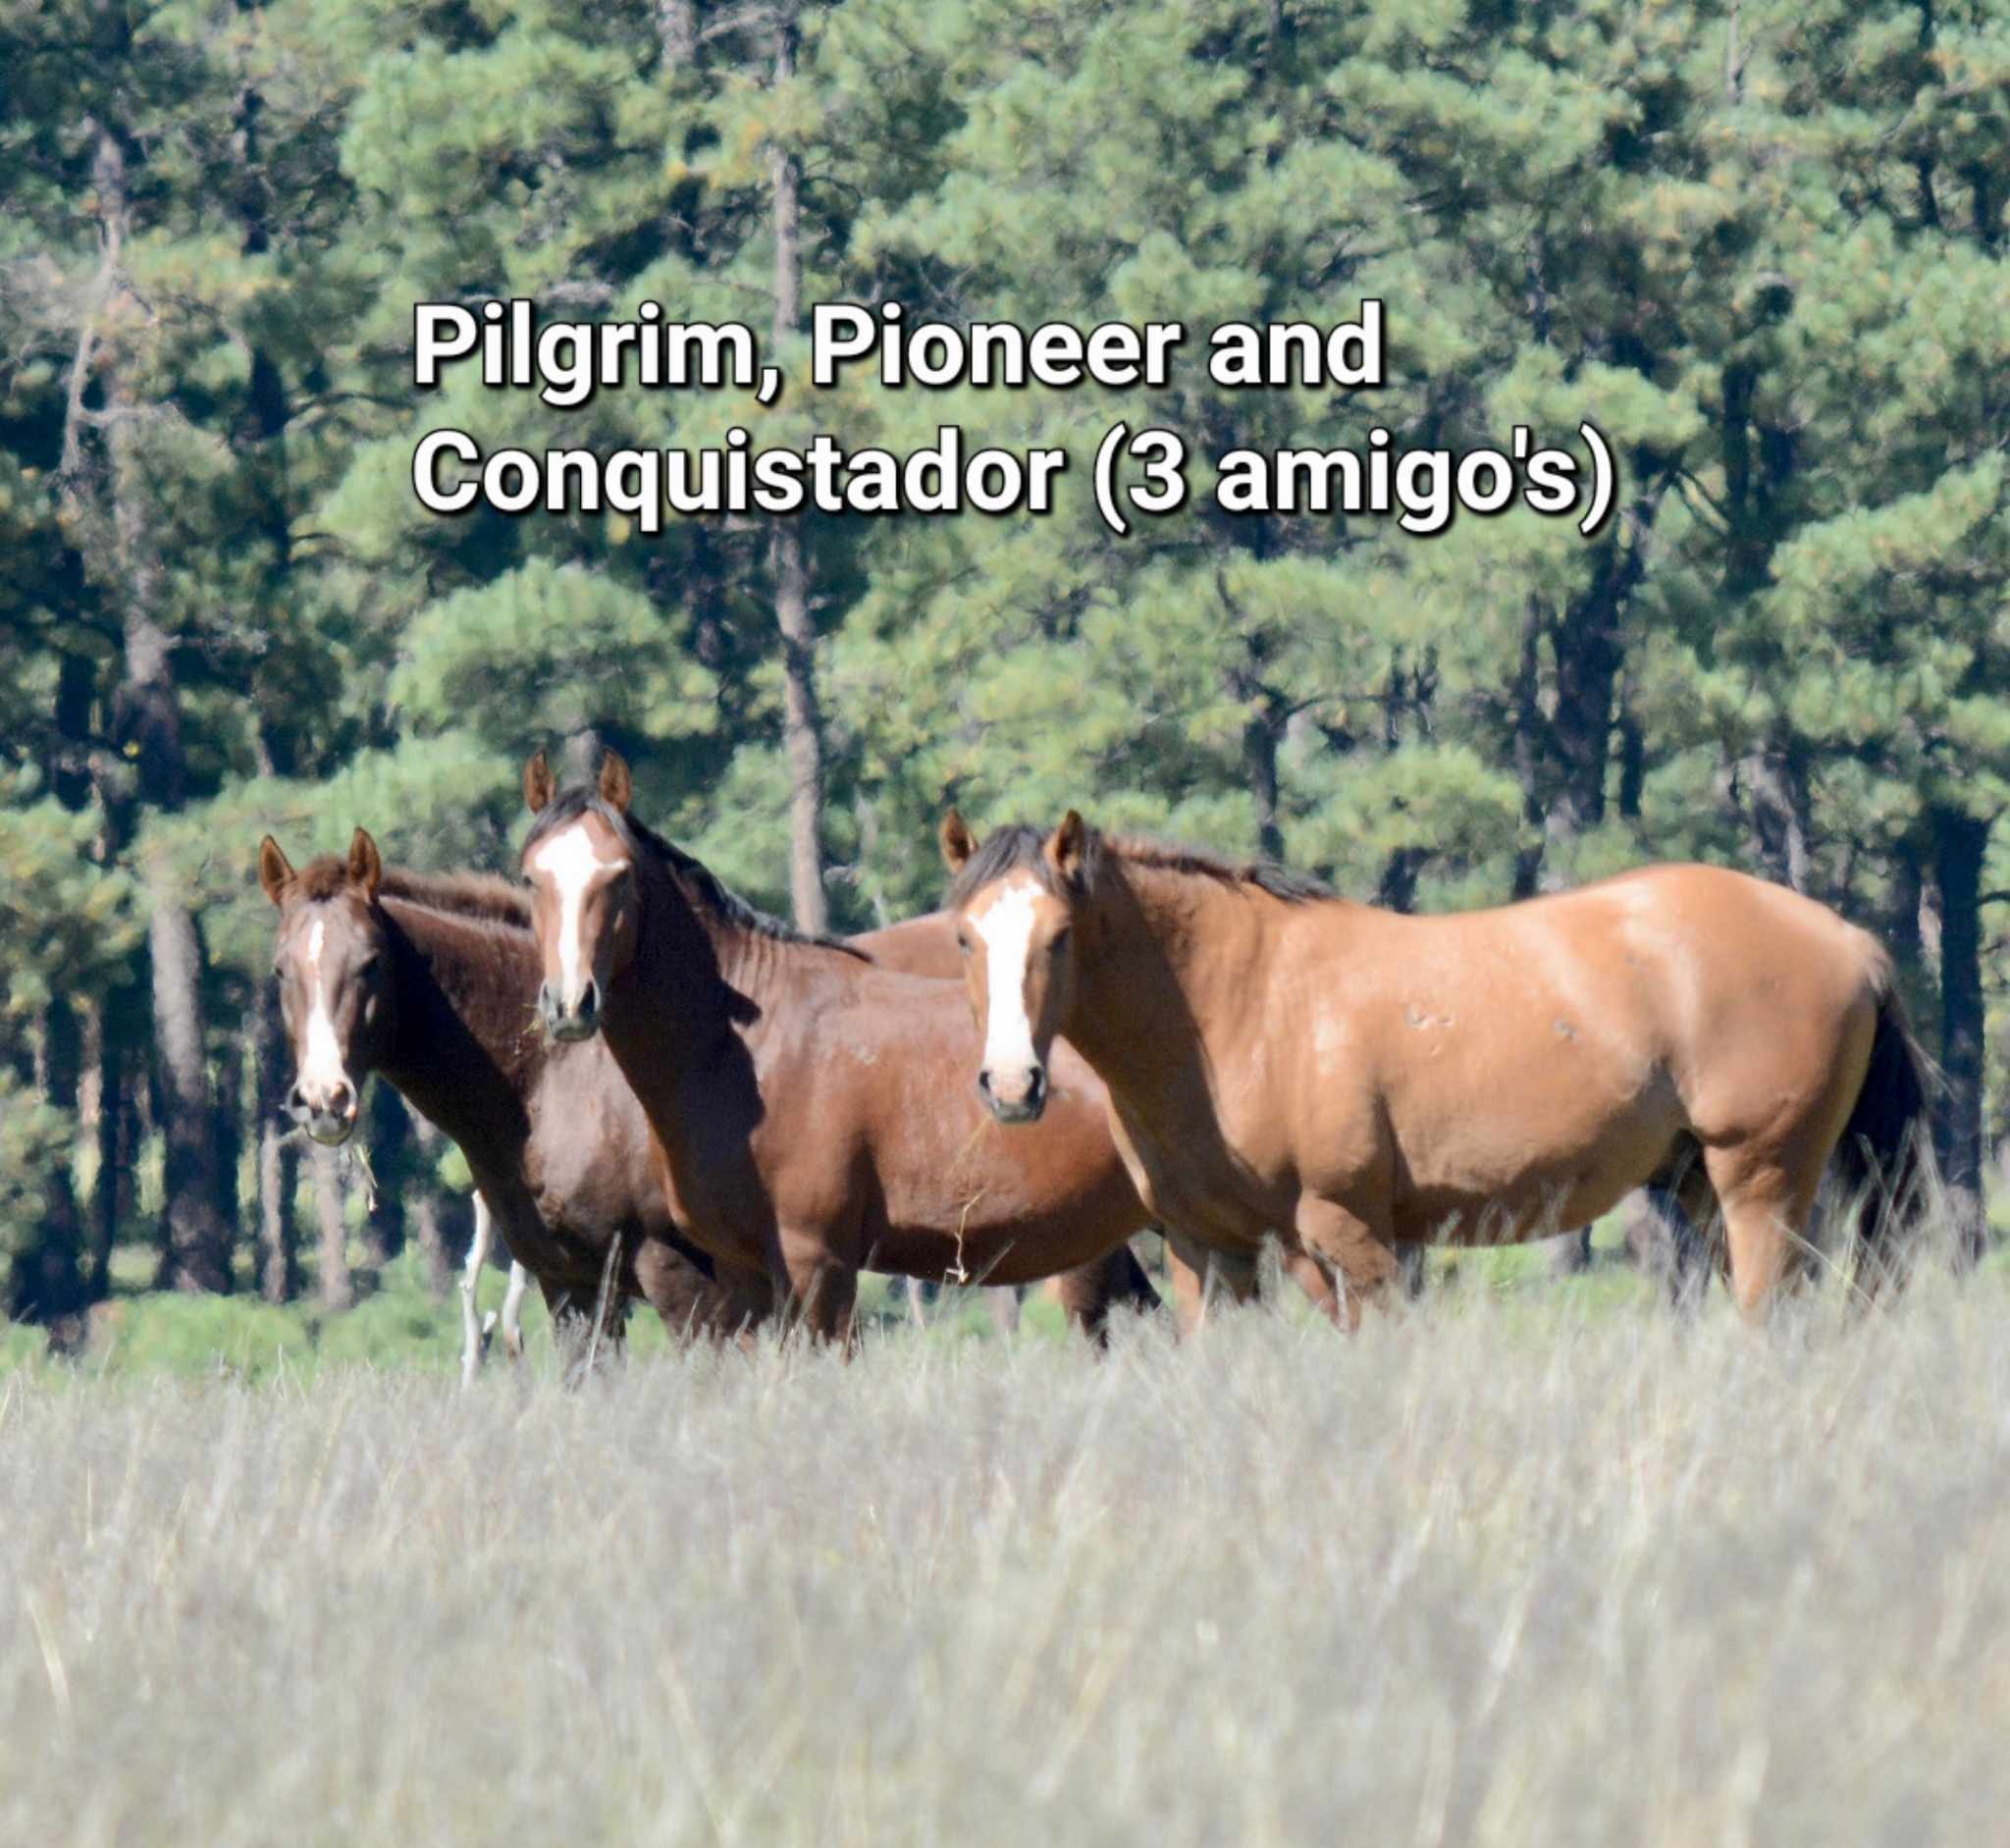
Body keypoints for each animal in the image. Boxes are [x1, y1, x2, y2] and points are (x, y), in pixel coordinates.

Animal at [517, 752, 1161, 1344]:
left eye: (619, 876)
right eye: (530, 878)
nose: (570, 1004)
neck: (748, 1052)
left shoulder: (816, 1262)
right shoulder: (742, 1272)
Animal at [940, 810, 1933, 1319]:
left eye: (1060, 936)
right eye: (964, 935)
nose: (1013, 1085)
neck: (1242, 1004)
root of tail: (1848, 939)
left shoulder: (1346, 1233)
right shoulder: (1206, 1248)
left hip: (1760, 1178)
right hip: (1701, 1184)